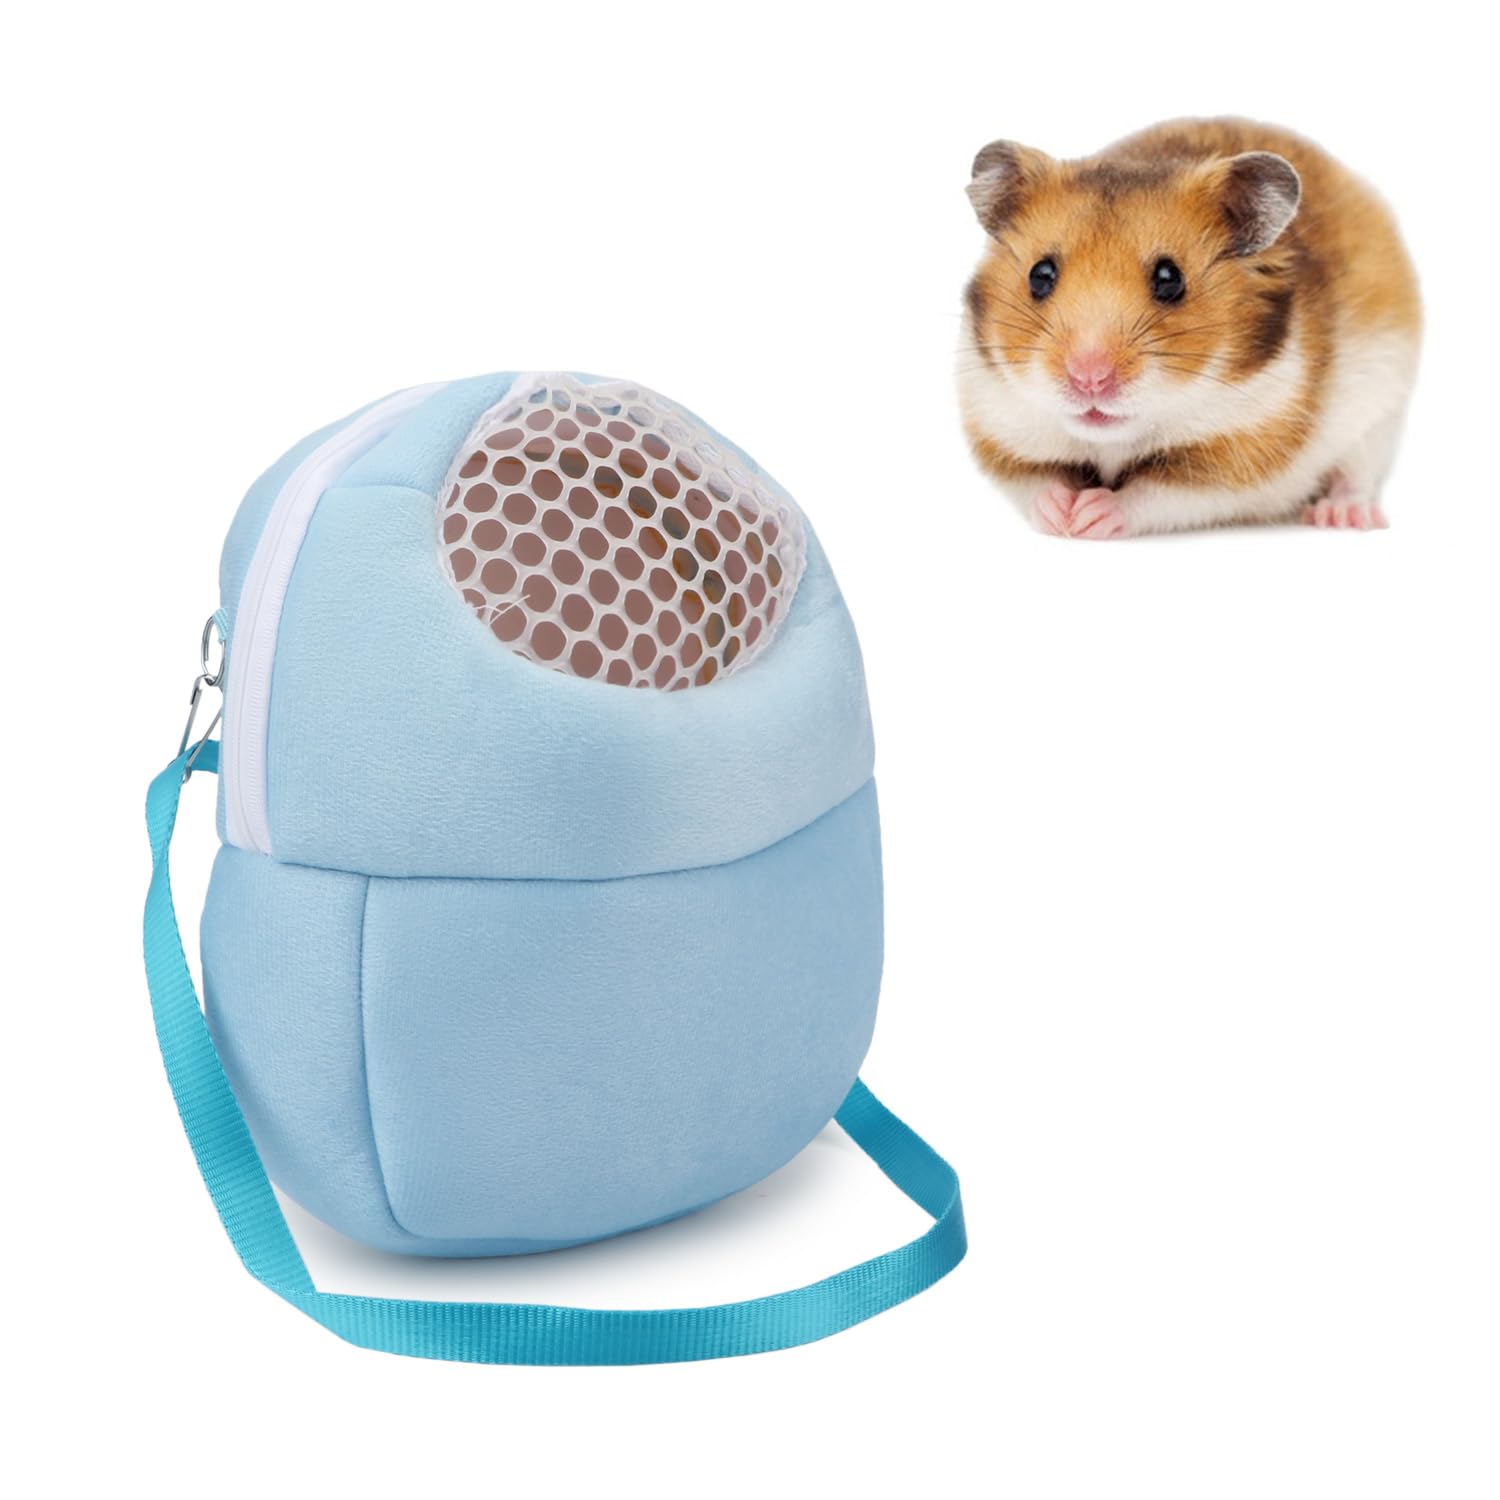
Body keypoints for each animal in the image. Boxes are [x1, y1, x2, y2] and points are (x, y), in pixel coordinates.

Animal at [957, 118, 1420, 538]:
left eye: (1169, 279)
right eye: (1040, 275)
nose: (1089, 378)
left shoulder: (1241, 455)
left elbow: (1155, 494)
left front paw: (1090, 515)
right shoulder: (1000, 430)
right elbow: (1035, 482)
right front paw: (1061, 514)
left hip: (1380, 412)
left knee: (1357, 472)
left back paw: (1342, 515)